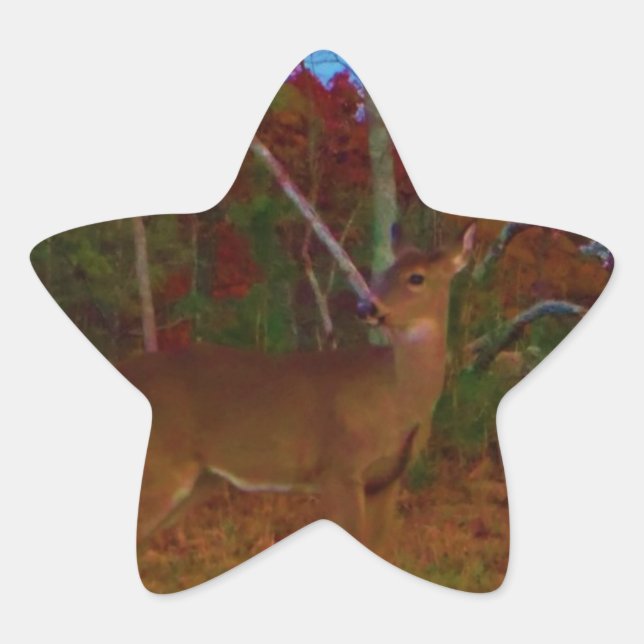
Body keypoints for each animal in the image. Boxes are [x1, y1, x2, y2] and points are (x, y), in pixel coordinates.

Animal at [119, 222, 476, 563]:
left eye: (416, 277)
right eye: (384, 273)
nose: (366, 307)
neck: (397, 397)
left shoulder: (387, 480)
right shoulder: (339, 467)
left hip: (199, 480)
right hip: (159, 464)